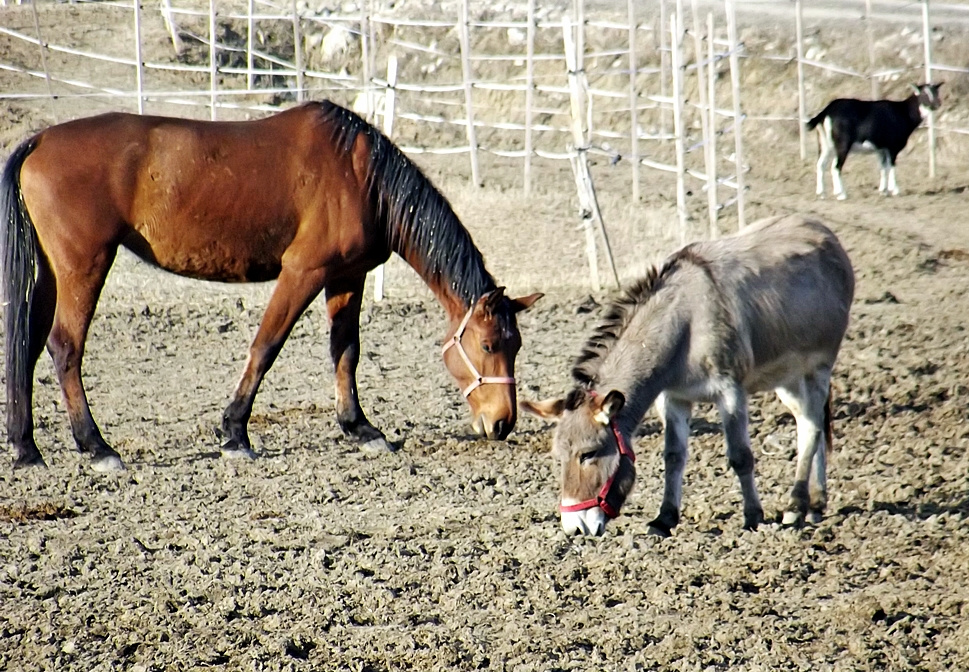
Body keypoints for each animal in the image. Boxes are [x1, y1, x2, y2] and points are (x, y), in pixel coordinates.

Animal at [0, 101, 540, 472]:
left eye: (516, 346)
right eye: (489, 345)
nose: (503, 422)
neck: (361, 174)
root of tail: (40, 141)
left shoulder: (347, 276)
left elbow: (346, 351)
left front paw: (360, 427)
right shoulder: (304, 272)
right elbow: (266, 346)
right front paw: (235, 432)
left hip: (53, 273)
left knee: (27, 346)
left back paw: (27, 447)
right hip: (84, 267)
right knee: (65, 348)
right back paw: (96, 446)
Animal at [520, 214, 856, 536]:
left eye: (588, 454)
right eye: (559, 457)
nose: (575, 529)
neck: (685, 323)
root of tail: (823, 231)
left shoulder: (731, 392)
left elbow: (740, 456)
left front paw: (753, 517)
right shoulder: (673, 398)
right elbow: (673, 456)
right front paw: (664, 520)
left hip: (818, 367)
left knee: (812, 427)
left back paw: (796, 506)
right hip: (787, 376)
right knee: (808, 422)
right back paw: (815, 504)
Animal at [804, 83, 940, 200]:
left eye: (936, 92)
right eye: (924, 94)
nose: (937, 104)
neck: (903, 112)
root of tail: (828, 109)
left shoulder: (881, 149)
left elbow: (883, 167)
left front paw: (883, 191)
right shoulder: (892, 148)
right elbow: (891, 166)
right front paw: (895, 190)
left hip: (825, 144)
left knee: (820, 165)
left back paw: (821, 193)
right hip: (842, 145)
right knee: (836, 167)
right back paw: (841, 194)